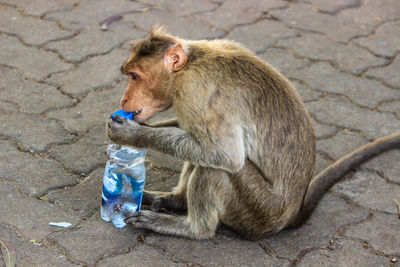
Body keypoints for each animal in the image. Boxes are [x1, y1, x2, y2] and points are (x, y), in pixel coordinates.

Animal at [106, 26, 400, 241]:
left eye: (134, 76)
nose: (123, 99)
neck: (192, 62)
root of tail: (291, 213)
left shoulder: (194, 90)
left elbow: (226, 155)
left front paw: (130, 136)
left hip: (259, 211)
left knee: (219, 168)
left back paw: (192, 229)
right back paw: (177, 200)